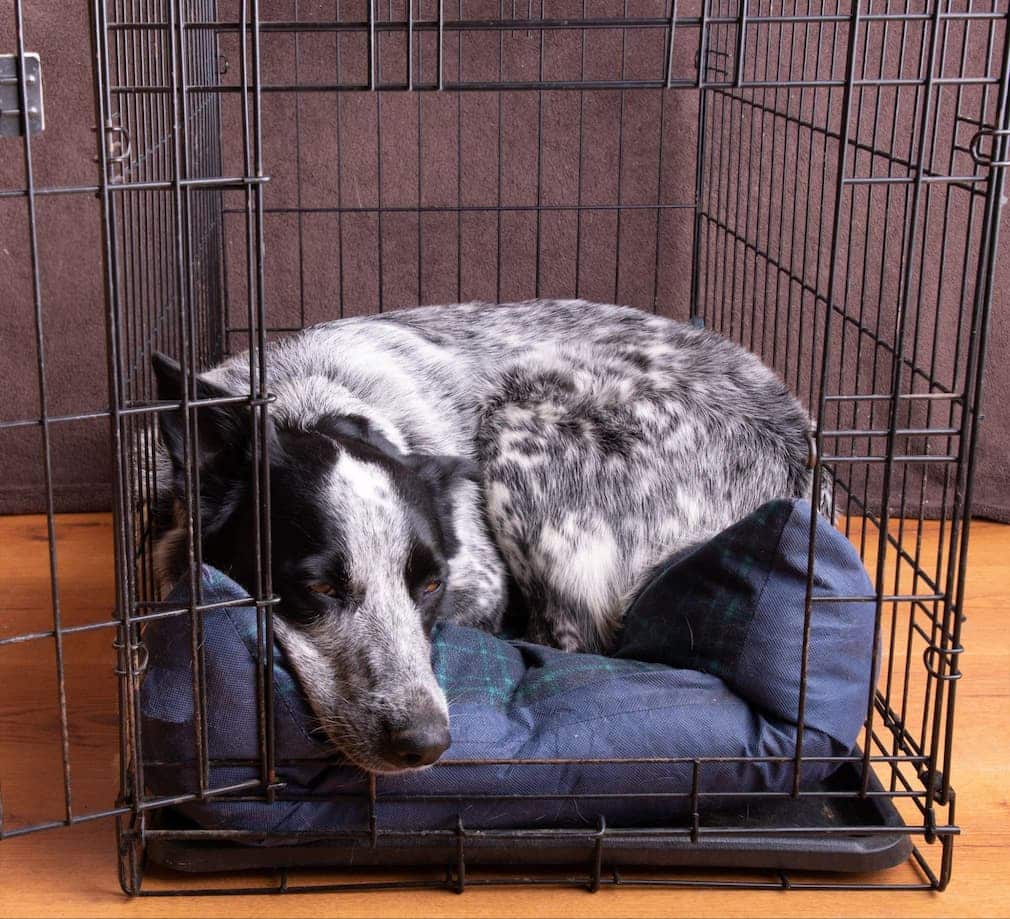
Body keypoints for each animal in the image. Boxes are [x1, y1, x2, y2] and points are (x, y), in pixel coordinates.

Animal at [149, 298, 812, 771]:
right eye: (317, 588)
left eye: (430, 585)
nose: (426, 742)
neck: (303, 404)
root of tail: (803, 462)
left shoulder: (482, 583)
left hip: (521, 422)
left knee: (575, 637)